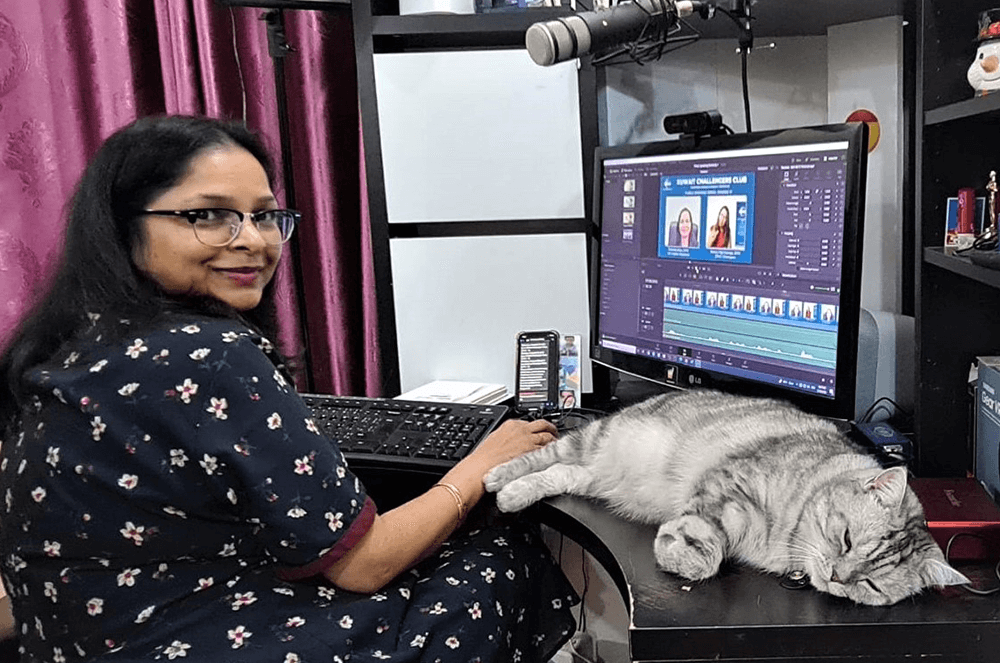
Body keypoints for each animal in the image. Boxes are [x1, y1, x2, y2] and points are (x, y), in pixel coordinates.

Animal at [484, 390, 968, 608]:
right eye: (846, 538)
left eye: (870, 584)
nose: (836, 575)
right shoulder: (727, 485)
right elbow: (707, 542)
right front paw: (680, 553)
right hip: (592, 441)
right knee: (541, 457)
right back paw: (496, 478)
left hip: (590, 475)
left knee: (557, 473)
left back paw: (514, 493)